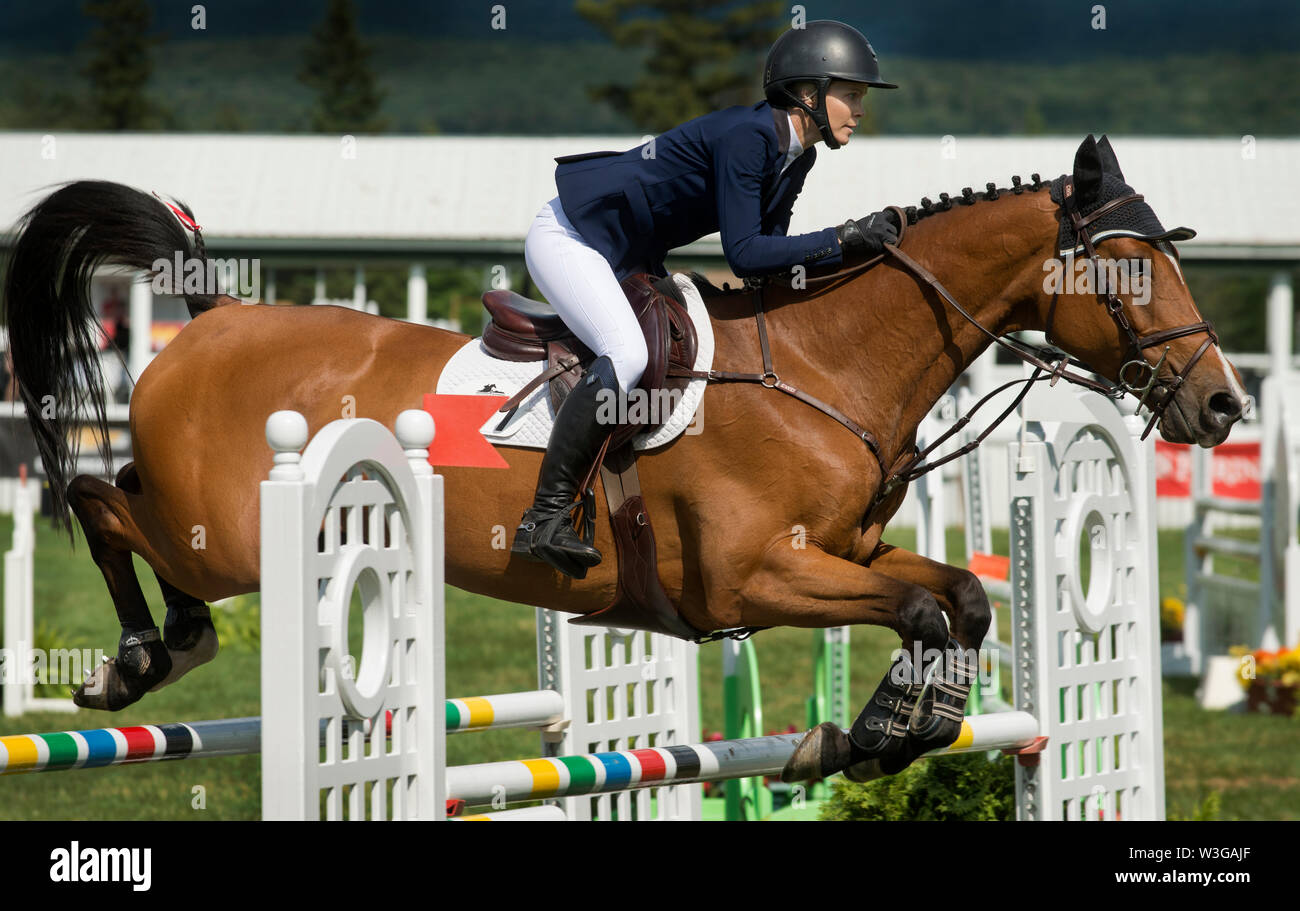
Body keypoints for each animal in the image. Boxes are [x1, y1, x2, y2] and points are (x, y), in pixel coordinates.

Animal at [1, 134, 1244, 779]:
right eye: (1128, 269)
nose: (1222, 402)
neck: (823, 365)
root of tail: (211, 315)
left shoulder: (841, 554)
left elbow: (955, 597)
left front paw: (894, 727)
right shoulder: (747, 578)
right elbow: (927, 604)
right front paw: (886, 728)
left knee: (117, 506)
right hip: (228, 537)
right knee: (104, 504)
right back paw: (135, 659)